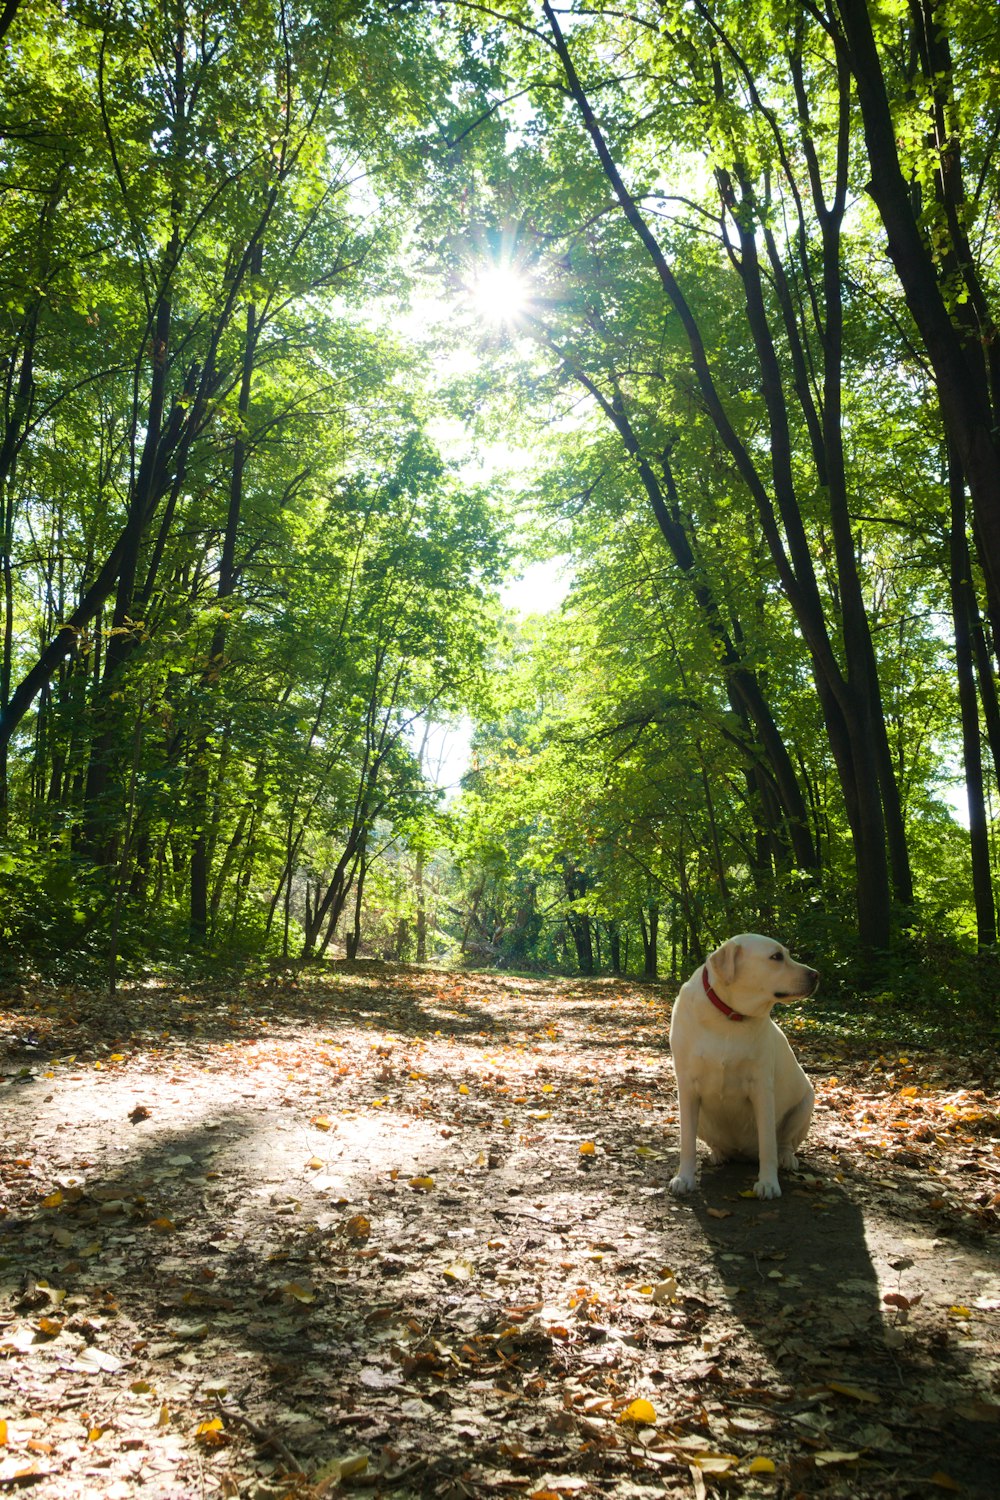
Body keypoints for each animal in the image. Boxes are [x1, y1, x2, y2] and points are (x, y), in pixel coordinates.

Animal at [668, 930, 815, 1200]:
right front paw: (684, 1178)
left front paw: (768, 1183)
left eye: (787, 955)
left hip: (805, 1105)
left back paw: (786, 1158)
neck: (728, 1017)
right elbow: (687, 1143)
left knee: (783, 1143)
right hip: (701, 1118)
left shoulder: (762, 1089)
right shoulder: (687, 1088)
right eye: (776, 957)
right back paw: (718, 1153)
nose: (816, 974)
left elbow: (768, 1145)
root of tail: (743, 1153)